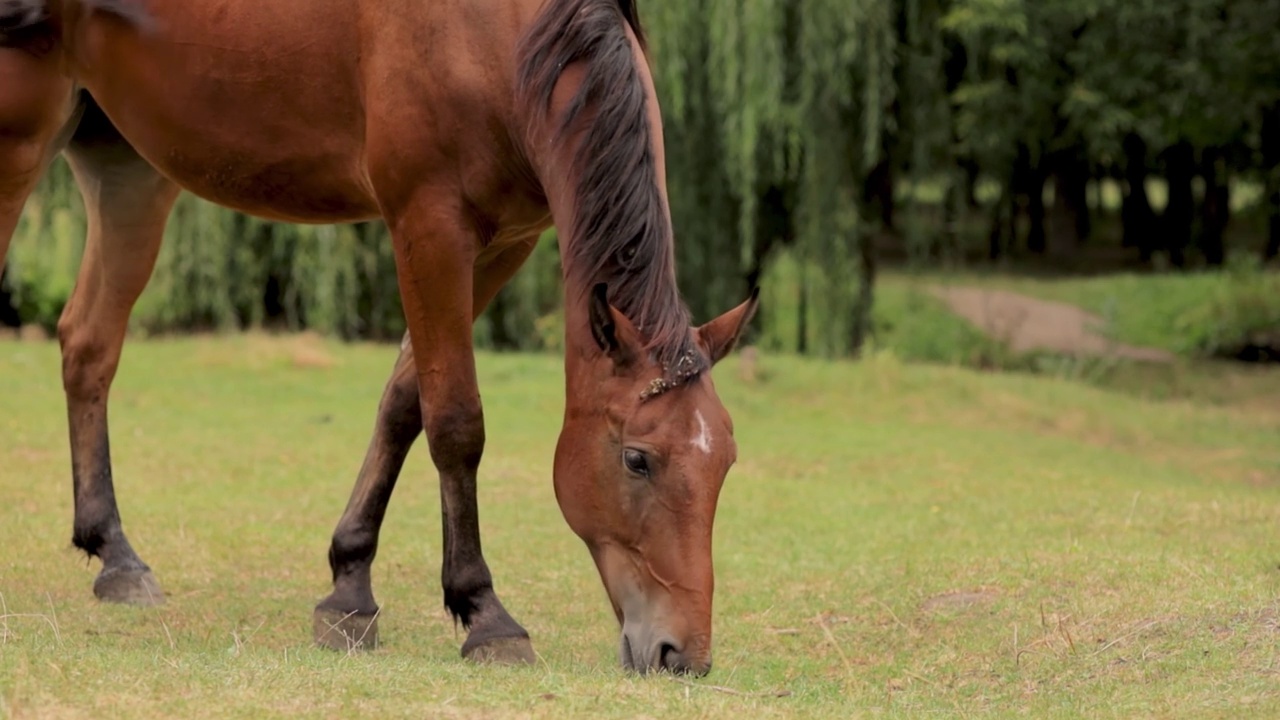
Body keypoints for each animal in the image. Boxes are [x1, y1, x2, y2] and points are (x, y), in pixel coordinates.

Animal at [0, 0, 752, 671]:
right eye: (637, 460)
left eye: (725, 464)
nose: (682, 655)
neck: (501, 32)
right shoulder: (429, 225)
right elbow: (455, 421)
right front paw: (485, 614)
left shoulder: (504, 244)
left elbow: (403, 403)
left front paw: (349, 587)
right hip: (22, 143)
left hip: (127, 172)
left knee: (89, 344)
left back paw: (116, 556)